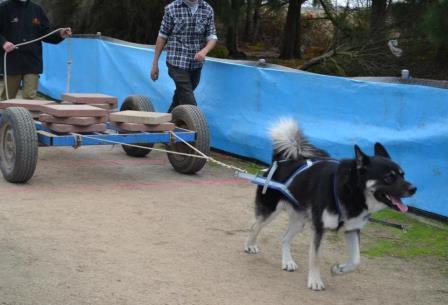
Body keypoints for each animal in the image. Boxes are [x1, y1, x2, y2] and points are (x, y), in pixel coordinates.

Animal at [245, 118, 416, 290]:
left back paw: (287, 262)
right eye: (389, 177)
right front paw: (315, 281)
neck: (351, 191)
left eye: (403, 174)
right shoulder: (319, 229)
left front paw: (338, 269)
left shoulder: (352, 229)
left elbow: (356, 260)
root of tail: (281, 161)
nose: (414, 189)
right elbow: (315, 257)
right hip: (271, 211)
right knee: (255, 226)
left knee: (285, 238)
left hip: (299, 221)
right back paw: (250, 246)